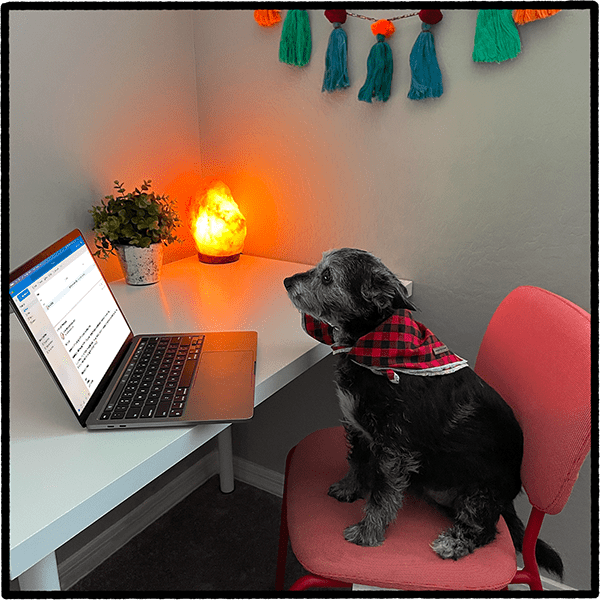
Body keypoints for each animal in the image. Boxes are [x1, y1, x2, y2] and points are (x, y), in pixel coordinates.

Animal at [284, 246, 564, 580]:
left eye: (327, 276)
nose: (287, 281)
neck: (372, 343)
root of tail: (509, 499)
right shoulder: (360, 429)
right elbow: (357, 462)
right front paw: (349, 487)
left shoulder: (394, 451)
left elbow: (383, 496)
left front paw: (368, 533)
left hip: (481, 493)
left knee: (486, 530)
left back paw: (455, 543)